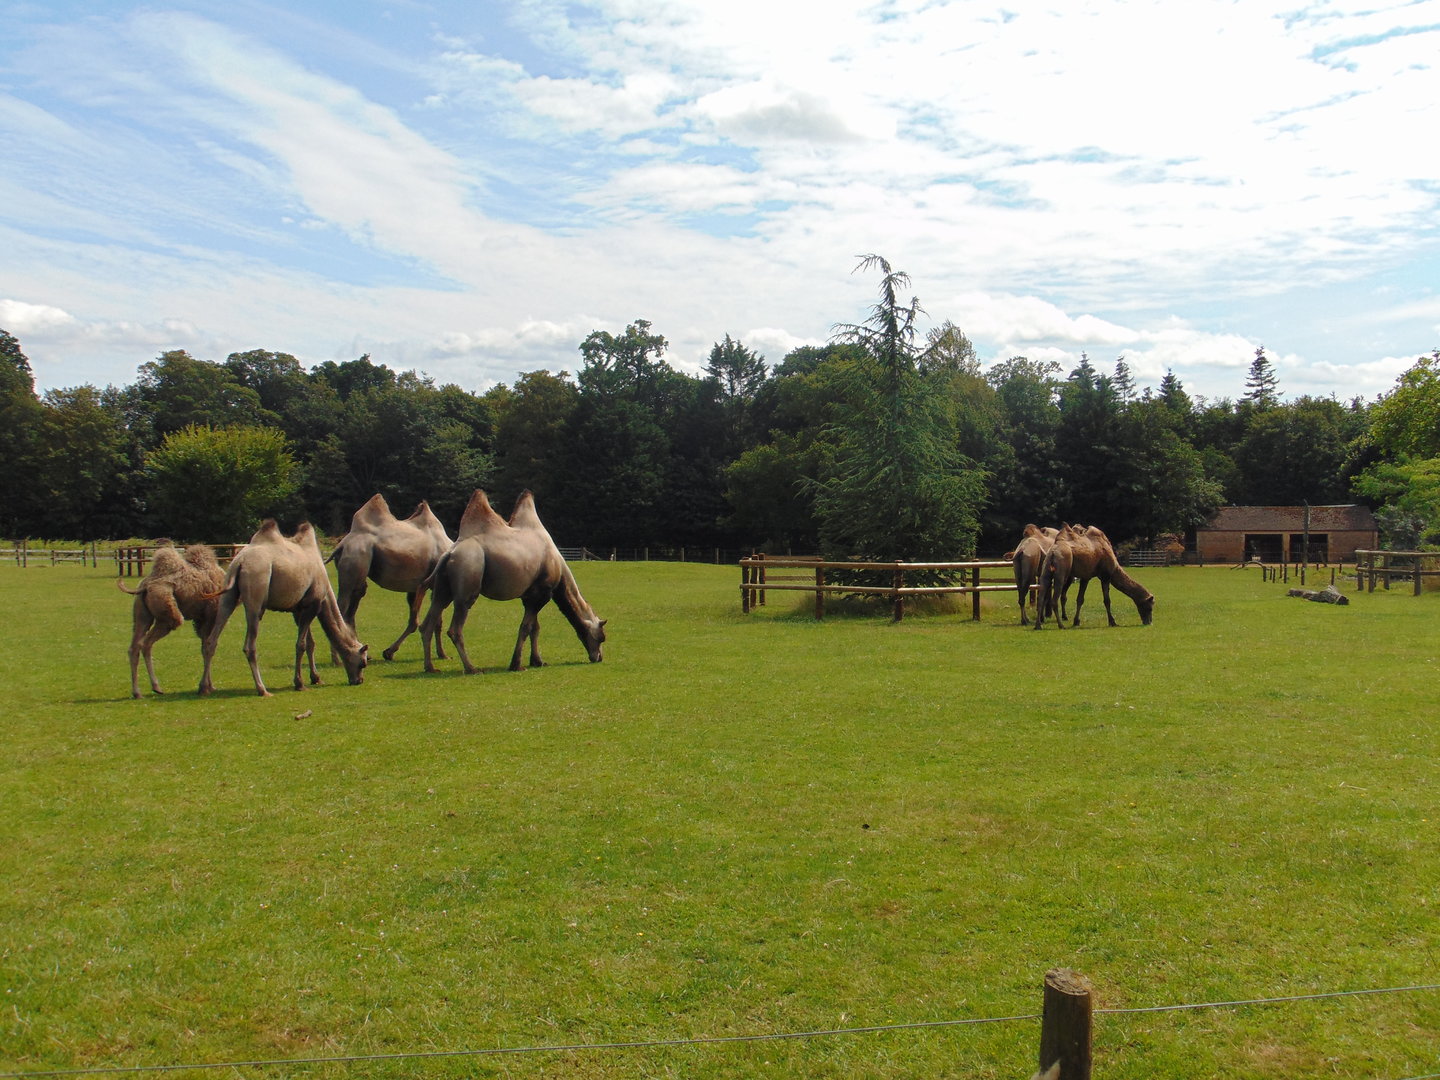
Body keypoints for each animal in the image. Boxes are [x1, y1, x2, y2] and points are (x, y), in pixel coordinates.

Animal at [118, 544, 225, 698]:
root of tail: (145, 586)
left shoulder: (201, 619)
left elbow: (204, 646)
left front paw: (210, 686)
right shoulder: (211, 615)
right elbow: (209, 647)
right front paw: (206, 687)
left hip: (141, 615)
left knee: (134, 646)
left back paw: (137, 692)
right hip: (168, 615)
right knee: (146, 643)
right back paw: (156, 687)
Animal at [200, 520, 369, 696]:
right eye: (362, 663)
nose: (358, 680)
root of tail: (240, 563)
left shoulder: (298, 609)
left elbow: (310, 643)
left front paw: (316, 678)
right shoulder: (312, 604)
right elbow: (301, 644)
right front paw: (299, 683)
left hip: (228, 596)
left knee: (211, 640)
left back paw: (205, 687)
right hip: (256, 594)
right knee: (249, 646)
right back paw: (262, 689)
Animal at [329, 494, 455, 661]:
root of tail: (342, 544)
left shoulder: (417, 587)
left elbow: (417, 621)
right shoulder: (434, 584)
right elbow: (432, 621)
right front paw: (442, 654)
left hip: (358, 577)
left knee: (351, 610)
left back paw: (361, 654)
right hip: (355, 560)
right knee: (341, 609)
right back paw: (338, 659)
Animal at [419, 489, 606, 675]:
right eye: (601, 638)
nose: (598, 657)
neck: (558, 567)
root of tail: (450, 553)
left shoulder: (530, 596)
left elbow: (535, 628)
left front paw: (537, 661)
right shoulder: (541, 594)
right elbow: (525, 628)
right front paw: (516, 664)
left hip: (442, 588)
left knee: (428, 622)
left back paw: (430, 667)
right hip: (467, 578)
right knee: (455, 628)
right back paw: (471, 668)